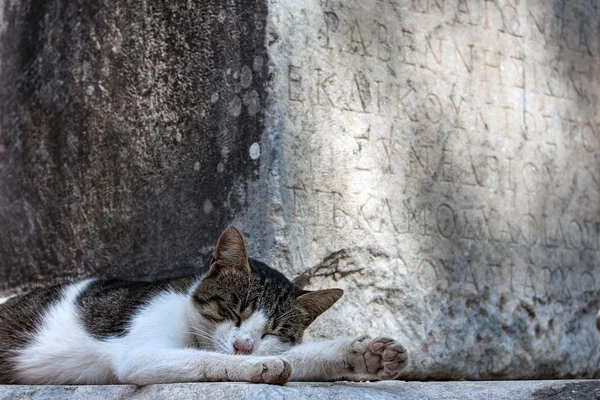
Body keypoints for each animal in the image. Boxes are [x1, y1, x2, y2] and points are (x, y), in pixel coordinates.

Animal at [0, 228, 408, 384]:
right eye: (235, 310)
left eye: (273, 331)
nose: (244, 345)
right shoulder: (141, 353)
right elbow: (207, 359)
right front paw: (256, 366)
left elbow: (299, 357)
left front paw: (365, 354)